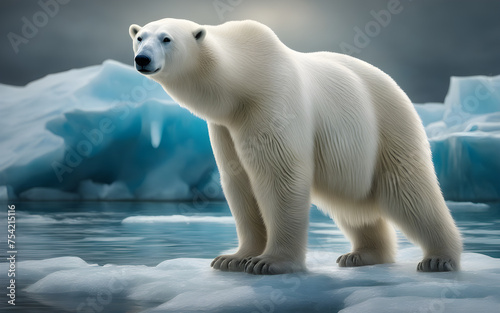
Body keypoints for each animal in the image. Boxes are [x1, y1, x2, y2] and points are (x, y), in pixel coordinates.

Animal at [130, 18, 464, 272]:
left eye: (166, 38)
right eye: (140, 37)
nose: (142, 59)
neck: (242, 81)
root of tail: (395, 85)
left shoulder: (272, 102)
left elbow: (279, 174)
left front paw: (268, 263)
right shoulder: (224, 126)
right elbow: (239, 181)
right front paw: (232, 258)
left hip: (387, 127)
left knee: (409, 191)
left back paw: (439, 258)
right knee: (352, 205)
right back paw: (361, 254)